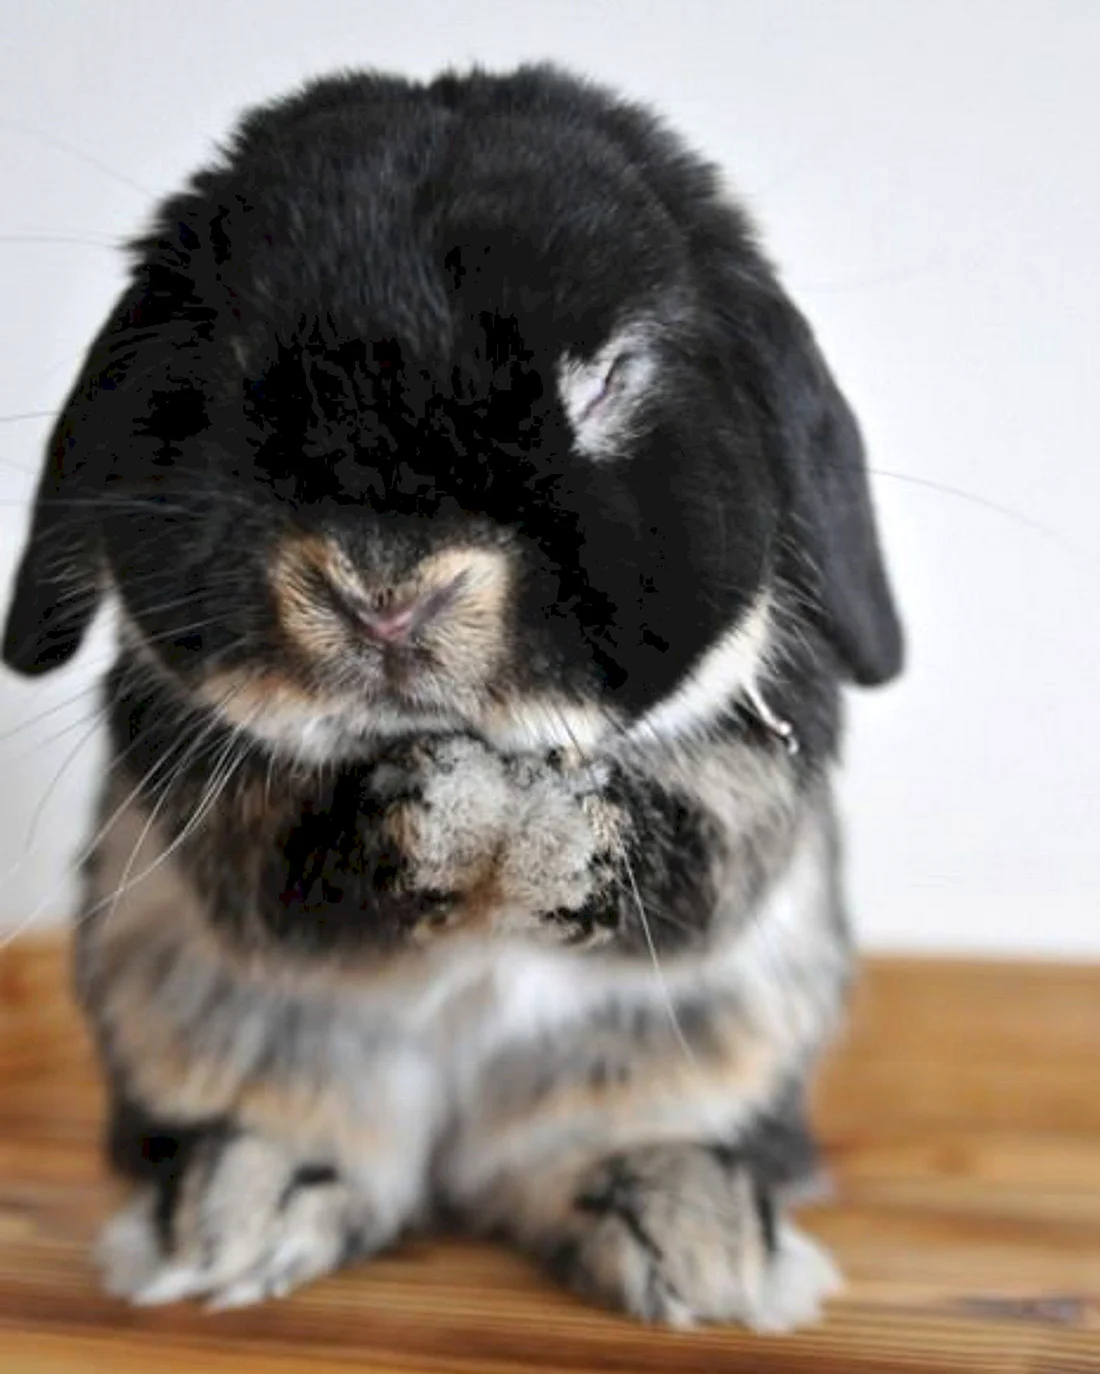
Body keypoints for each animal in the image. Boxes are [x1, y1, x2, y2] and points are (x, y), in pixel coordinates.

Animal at [1, 64, 903, 1329]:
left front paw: (533, 826)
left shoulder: (755, 780)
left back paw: (701, 1246)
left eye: (608, 378)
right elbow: (293, 864)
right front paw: (464, 813)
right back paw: (237, 1217)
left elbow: (688, 863)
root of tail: (451, 1160)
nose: (384, 593)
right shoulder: (197, 777)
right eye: (225, 380)